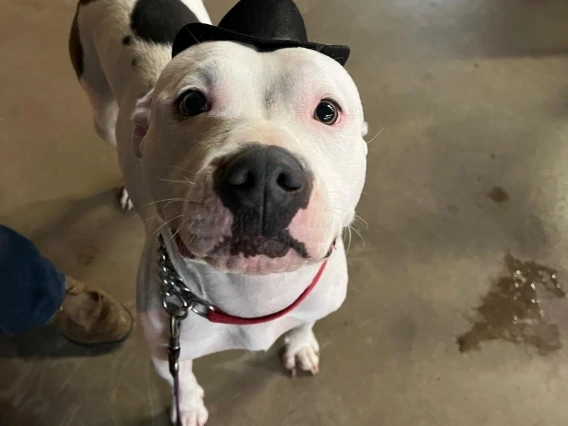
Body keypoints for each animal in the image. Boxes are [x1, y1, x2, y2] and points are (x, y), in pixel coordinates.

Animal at [69, 1, 368, 424]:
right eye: (191, 102)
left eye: (327, 111)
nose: (263, 173)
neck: (254, 295)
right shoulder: (166, 349)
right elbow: (183, 380)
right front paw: (189, 407)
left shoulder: (320, 299)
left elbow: (306, 321)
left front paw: (299, 344)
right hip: (101, 111)